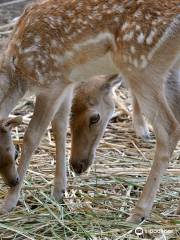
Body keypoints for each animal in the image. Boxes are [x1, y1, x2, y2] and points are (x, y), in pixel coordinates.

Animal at [0, 0, 179, 223]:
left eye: (14, 152)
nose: (13, 181)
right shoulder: (65, 81)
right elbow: (59, 127)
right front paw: (59, 192)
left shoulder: (49, 81)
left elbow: (32, 137)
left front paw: (9, 202)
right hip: (168, 70)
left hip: (140, 65)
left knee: (169, 129)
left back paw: (138, 213)